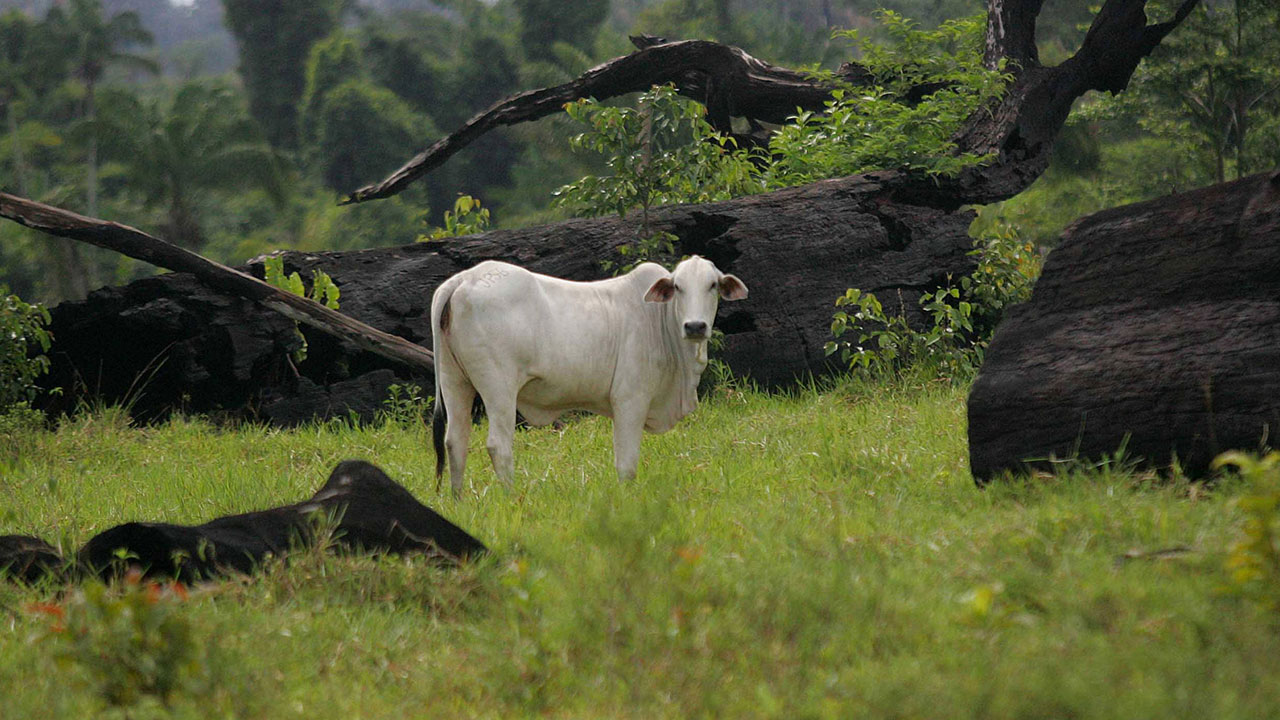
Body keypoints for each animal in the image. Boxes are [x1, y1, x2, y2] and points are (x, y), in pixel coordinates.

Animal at [430, 253, 747, 491]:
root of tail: (465, 278)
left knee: (455, 441)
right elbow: (627, 464)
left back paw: (458, 501)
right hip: (499, 387)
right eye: (678, 286)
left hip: (454, 380)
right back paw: (512, 496)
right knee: (498, 445)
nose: (695, 326)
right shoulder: (630, 400)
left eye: (713, 285)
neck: (660, 320)